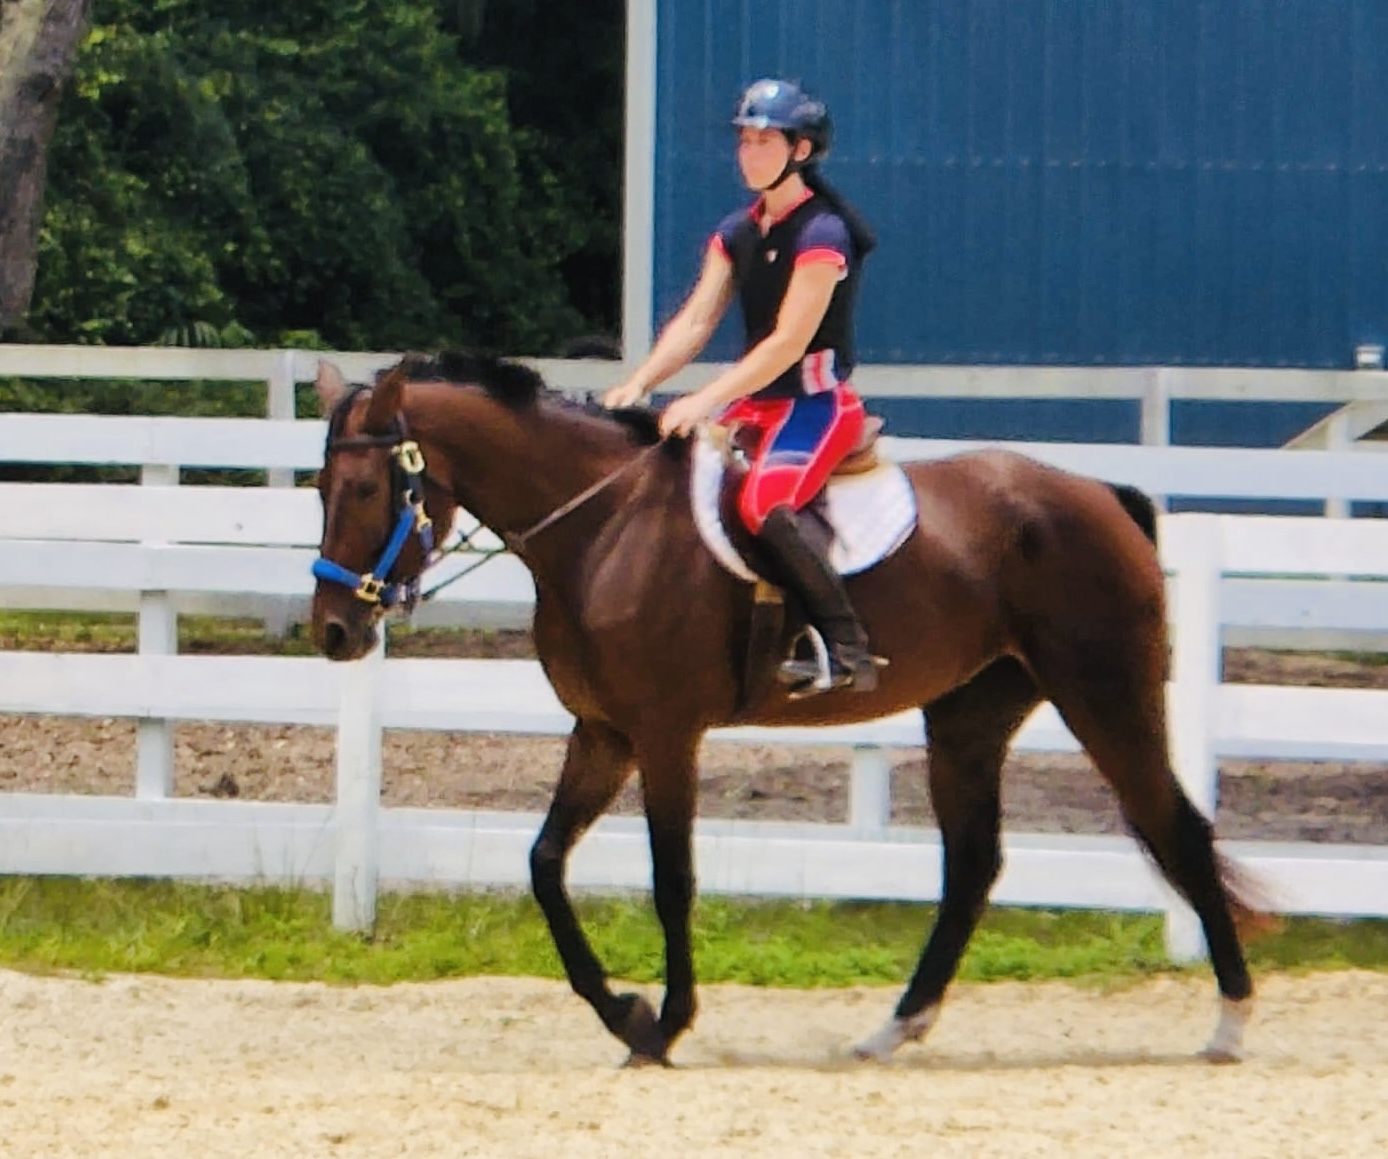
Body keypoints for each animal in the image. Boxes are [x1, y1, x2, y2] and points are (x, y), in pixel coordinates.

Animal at [308, 351, 1264, 1066]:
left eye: (367, 490)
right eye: (319, 488)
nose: (335, 630)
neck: (604, 524)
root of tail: (1104, 494)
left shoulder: (665, 734)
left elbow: (672, 877)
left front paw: (664, 1023)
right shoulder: (605, 731)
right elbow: (544, 863)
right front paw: (623, 1010)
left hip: (1106, 694)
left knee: (1178, 828)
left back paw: (1230, 1020)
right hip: (969, 717)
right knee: (972, 863)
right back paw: (894, 1027)